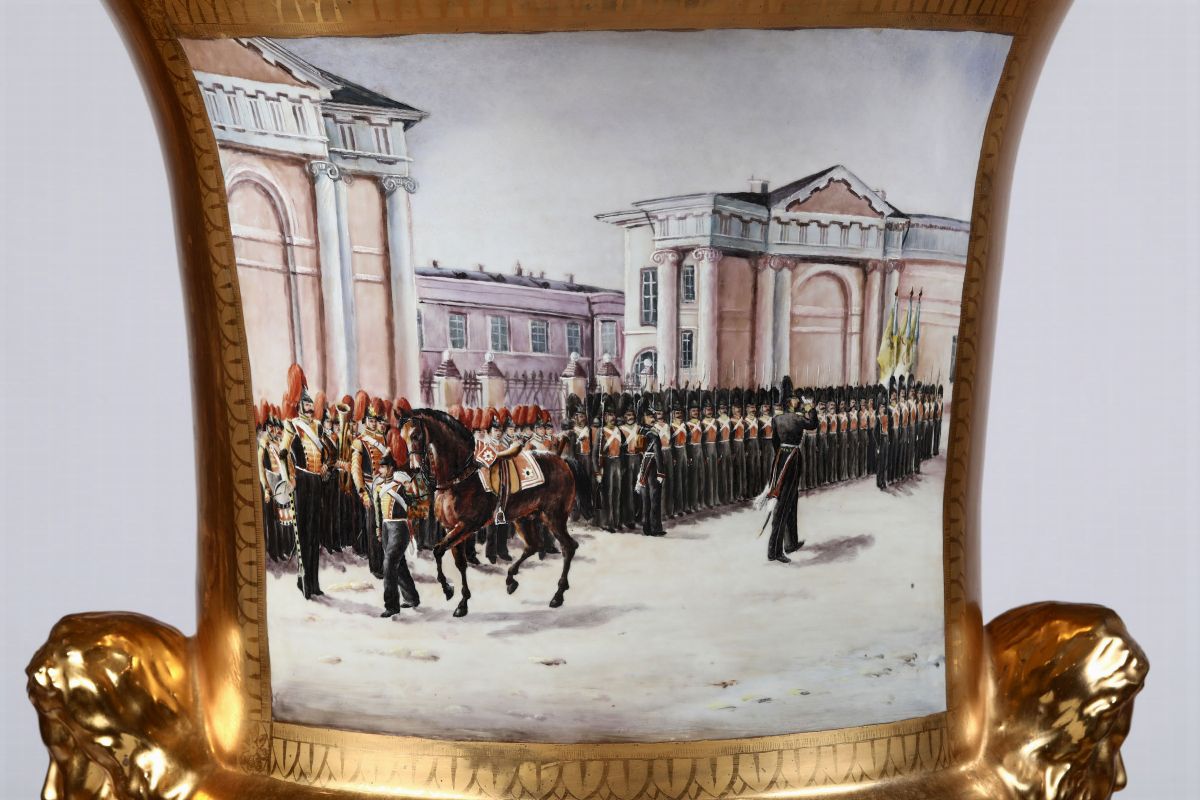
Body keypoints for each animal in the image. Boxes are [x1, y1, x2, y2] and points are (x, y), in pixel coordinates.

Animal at [397, 409, 584, 617]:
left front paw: (448, 589)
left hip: (553, 516)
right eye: (402, 437)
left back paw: (558, 595)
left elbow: (438, 550)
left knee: (568, 547)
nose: (414, 468)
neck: (460, 477)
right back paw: (511, 579)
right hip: (524, 518)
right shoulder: (450, 527)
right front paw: (462, 601)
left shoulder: (466, 526)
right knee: (533, 546)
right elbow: (458, 562)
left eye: (415, 435)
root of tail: (559, 459)